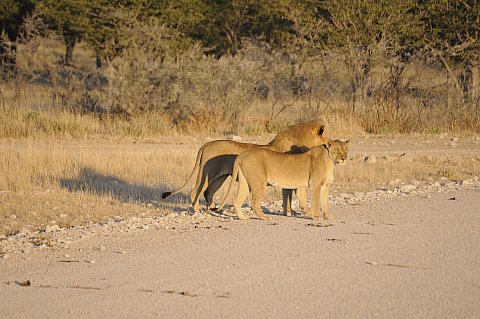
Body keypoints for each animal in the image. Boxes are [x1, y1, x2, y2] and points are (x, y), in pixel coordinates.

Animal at [161, 120, 330, 212]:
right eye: (328, 141)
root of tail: (206, 144)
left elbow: (286, 196)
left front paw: (289, 212)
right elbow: (296, 195)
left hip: (220, 177)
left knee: (208, 192)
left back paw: (214, 209)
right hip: (208, 174)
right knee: (196, 190)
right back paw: (197, 209)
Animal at [217, 140, 348, 220]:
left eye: (345, 149)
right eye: (337, 149)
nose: (343, 158)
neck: (331, 162)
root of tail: (242, 155)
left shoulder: (325, 186)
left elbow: (325, 202)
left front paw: (328, 217)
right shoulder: (315, 184)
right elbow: (316, 201)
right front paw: (316, 217)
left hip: (245, 183)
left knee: (237, 200)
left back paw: (243, 217)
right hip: (259, 182)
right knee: (254, 202)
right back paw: (264, 217)